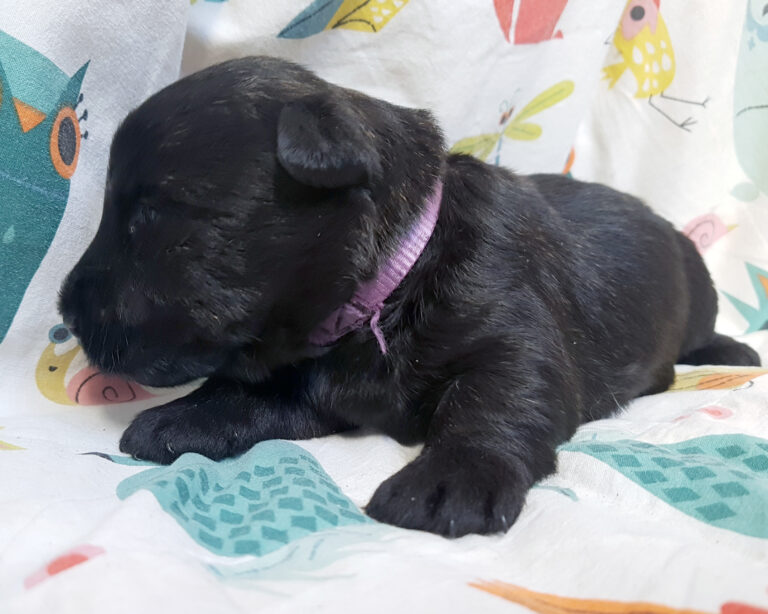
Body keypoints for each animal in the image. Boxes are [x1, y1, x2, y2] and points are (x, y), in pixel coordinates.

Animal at [58, 57, 756, 540]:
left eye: (152, 215)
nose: (63, 311)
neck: (393, 283)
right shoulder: (313, 378)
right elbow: (253, 393)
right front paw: (182, 418)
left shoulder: (514, 336)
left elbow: (493, 401)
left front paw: (449, 480)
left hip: (699, 290)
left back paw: (733, 351)